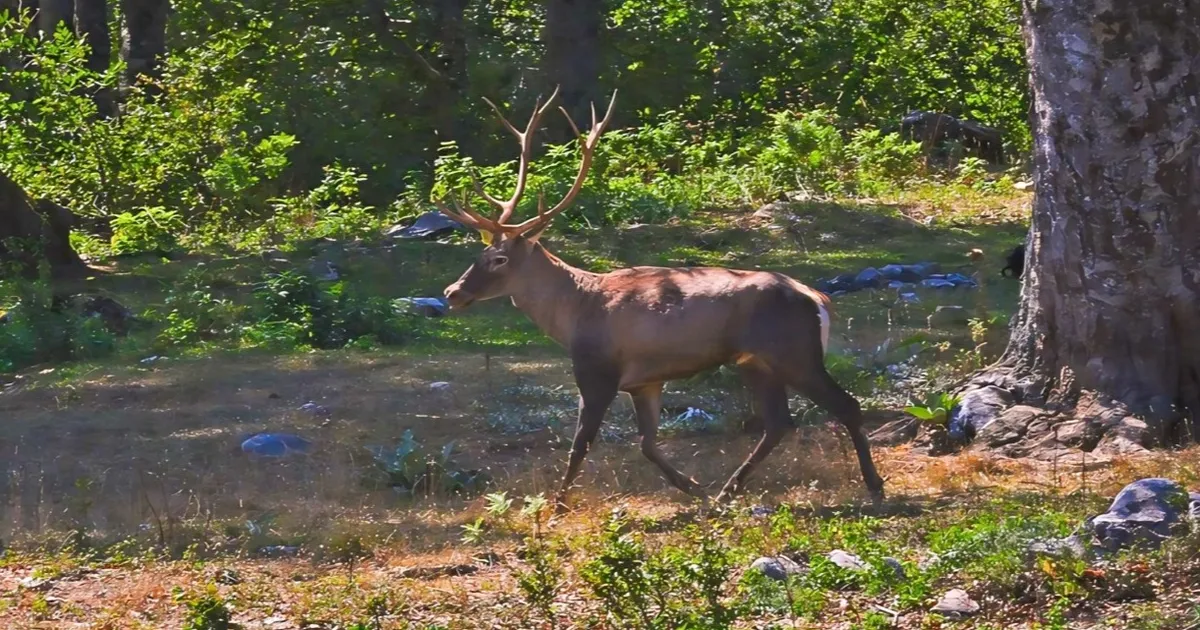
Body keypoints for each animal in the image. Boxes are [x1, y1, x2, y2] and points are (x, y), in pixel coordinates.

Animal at [432, 87, 883, 511]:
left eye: (498, 258)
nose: (452, 292)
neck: (574, 313)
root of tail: (819, 299)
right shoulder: (644, 380)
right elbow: (647, 443)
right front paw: (694, 488)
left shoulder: (597, 370)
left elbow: (581, 443)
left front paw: (556, 506)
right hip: (755, 361)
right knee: (779, 423)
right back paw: (726, 491)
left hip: (795, 352)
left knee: (846, 404)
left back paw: (874, 486)